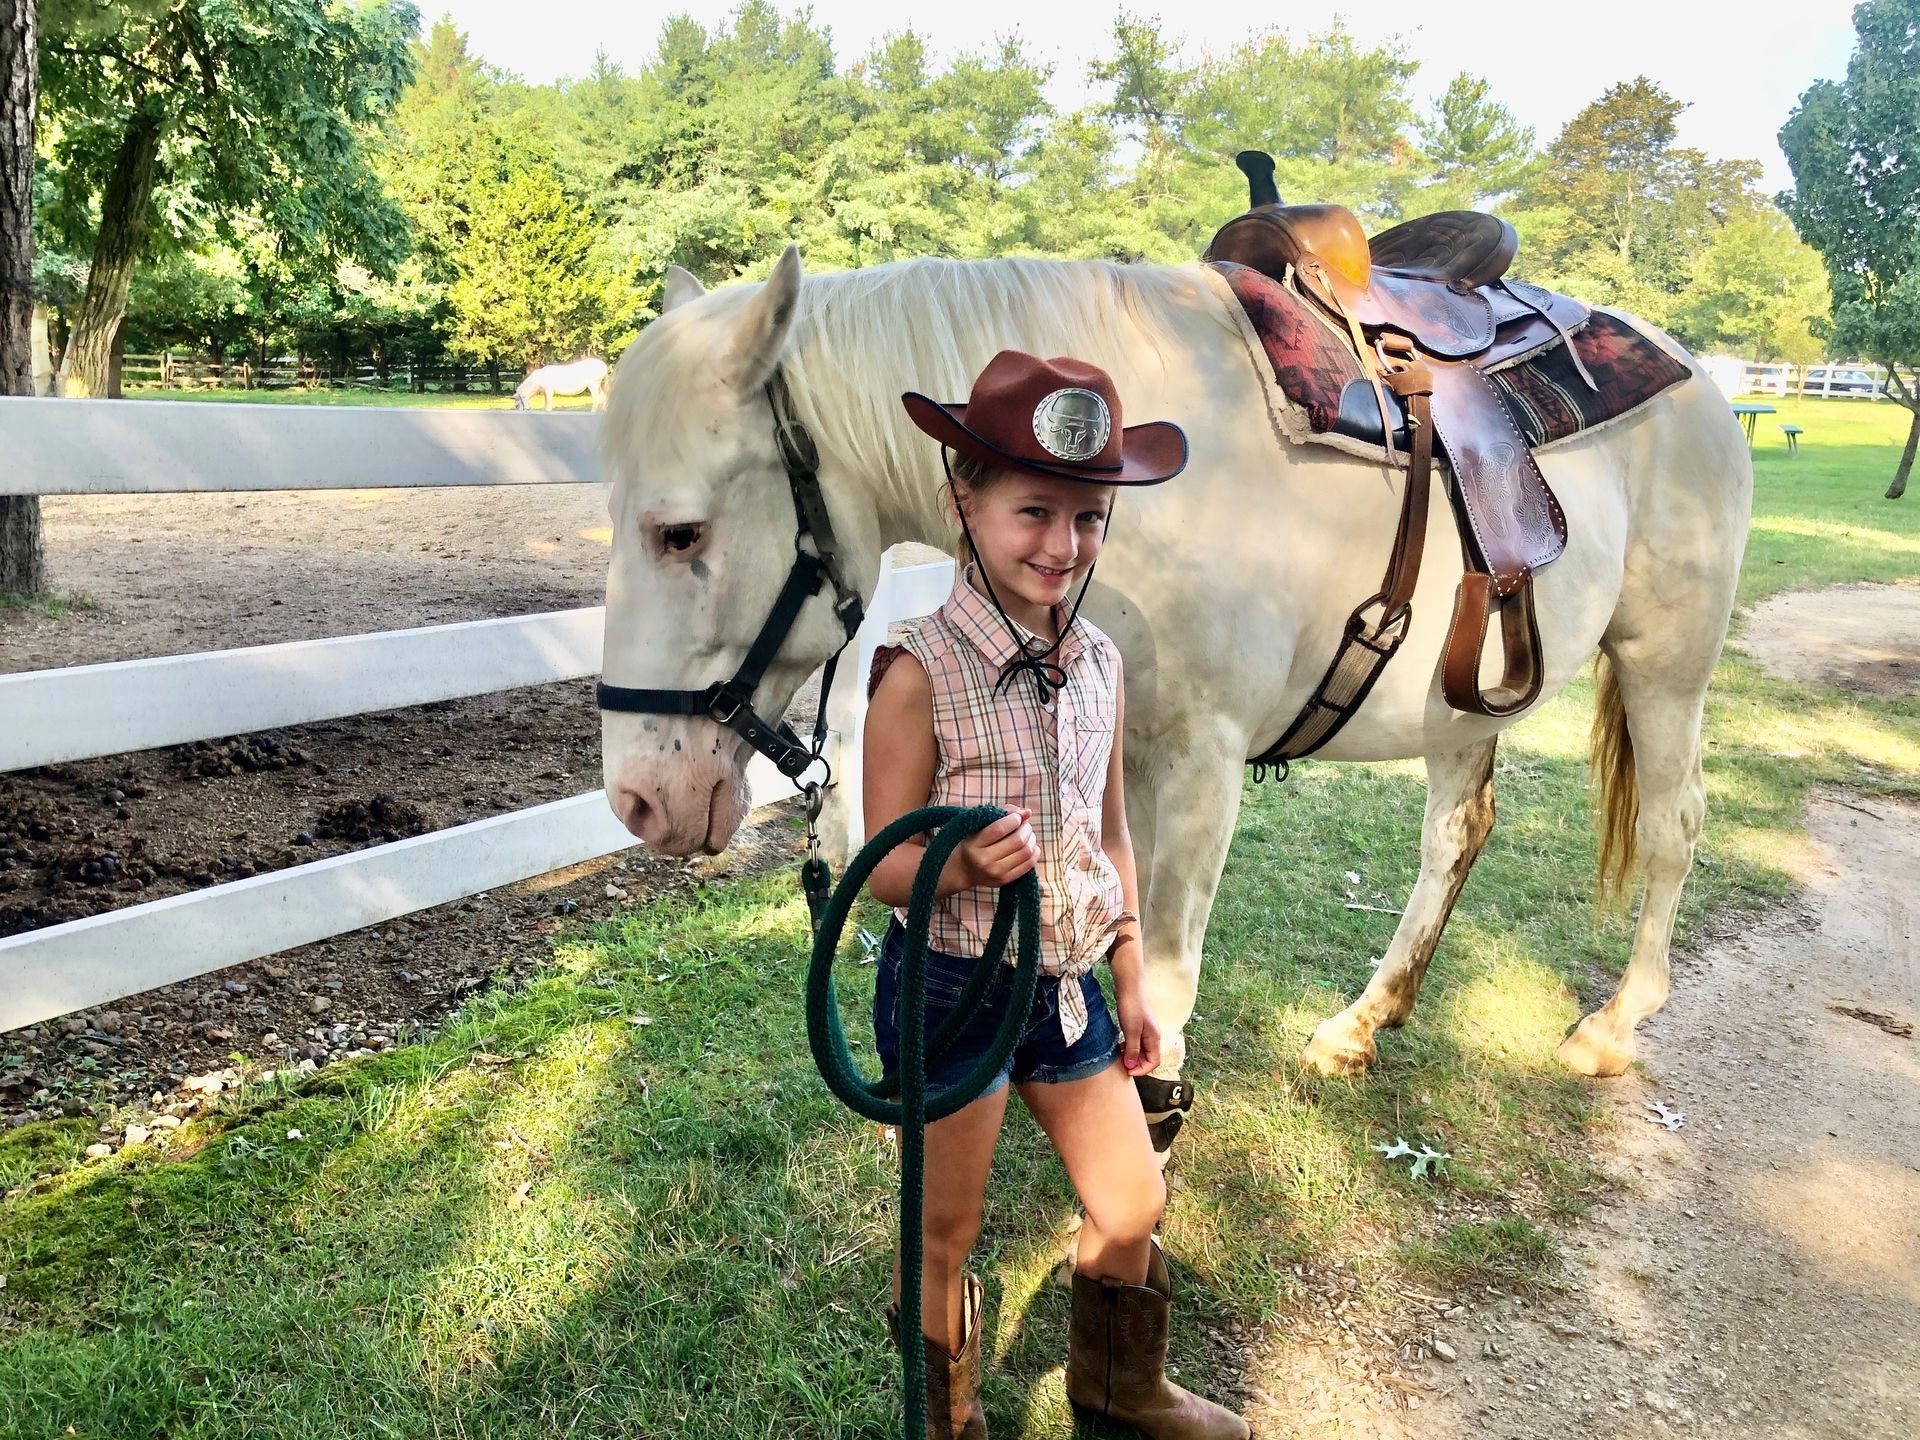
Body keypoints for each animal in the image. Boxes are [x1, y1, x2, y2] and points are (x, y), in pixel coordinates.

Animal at [599, 247, 1758, 1090]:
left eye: (680, 533)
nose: (639, 800)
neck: (1126, 485)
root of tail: (1695, 375)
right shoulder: (1122, 766)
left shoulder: (1200, 769)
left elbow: (1163, 986)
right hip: (1460, 708)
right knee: (1454, 838)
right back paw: (1364, 1021)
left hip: (1665, 665)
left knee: (1673, 826)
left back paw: (1615, 1023)